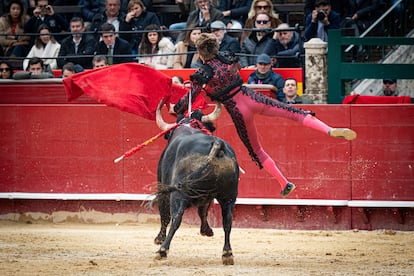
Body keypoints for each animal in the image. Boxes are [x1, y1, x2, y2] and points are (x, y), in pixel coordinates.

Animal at [153, 101, 239, 266]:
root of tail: (216, 145)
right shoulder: (206, 196)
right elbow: (203, 210)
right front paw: (207, 230)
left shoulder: (163, 187)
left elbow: (164, 214)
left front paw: (159, 238)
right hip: (229, 195)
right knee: (228, 220)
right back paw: (227, 253)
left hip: (178, 194)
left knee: (176, 217)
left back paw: (162, 250)